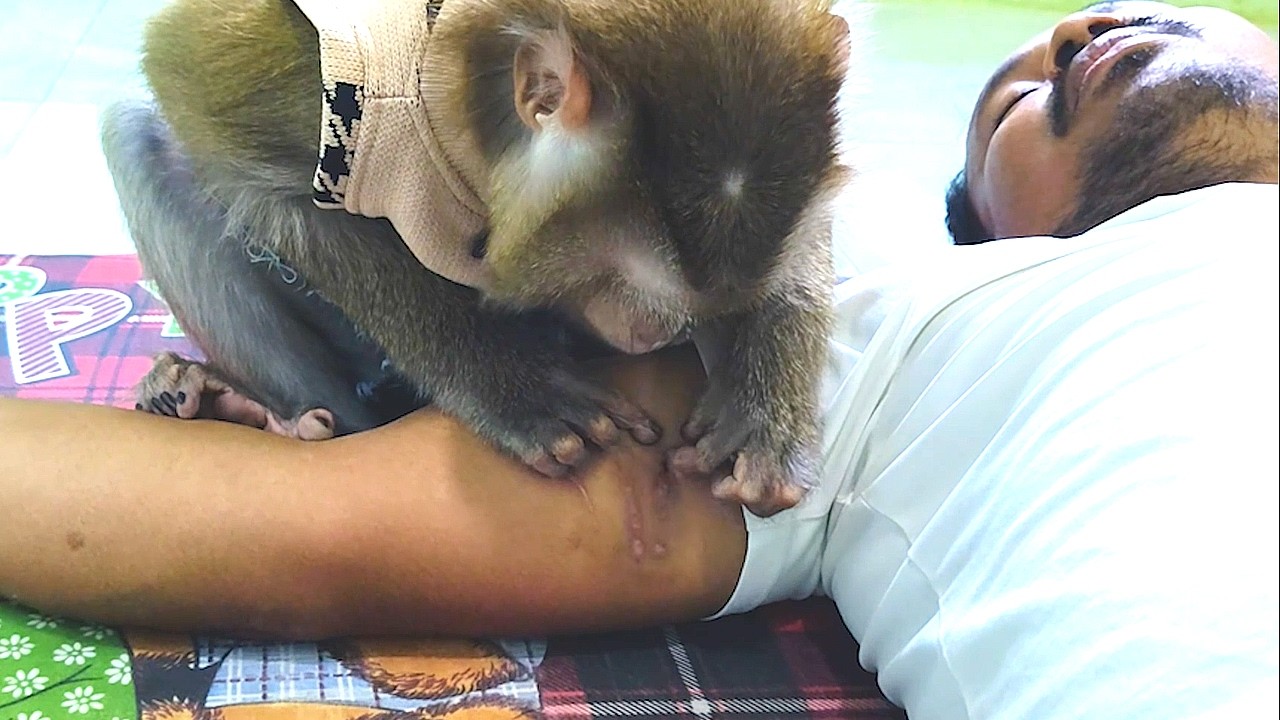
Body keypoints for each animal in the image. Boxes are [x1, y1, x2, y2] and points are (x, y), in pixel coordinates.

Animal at [102, 0, 852, 517]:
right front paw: (515, 390)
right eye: (628, 283)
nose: (658, 335)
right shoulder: (322, 79)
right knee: (135, 133)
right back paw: (259, 411)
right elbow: (214, 120)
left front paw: (763, 413)